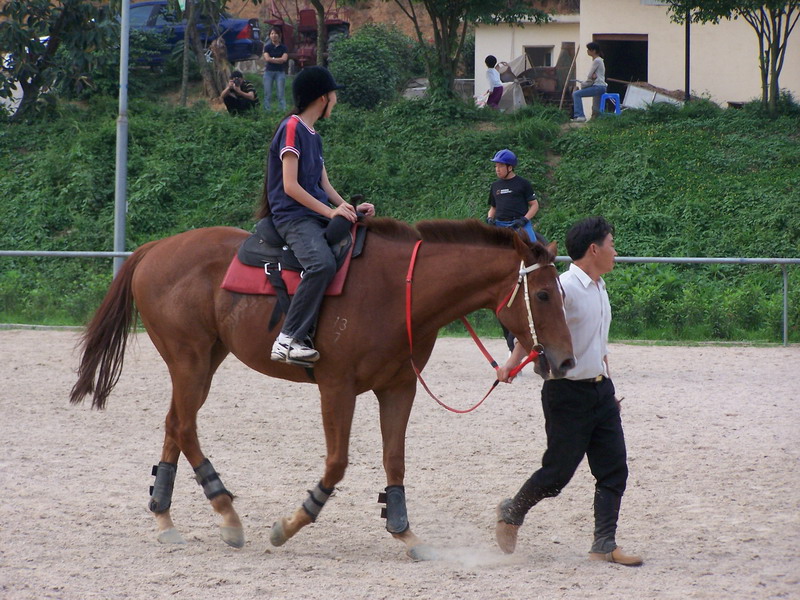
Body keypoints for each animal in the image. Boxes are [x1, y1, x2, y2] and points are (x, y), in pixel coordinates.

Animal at [67, 218, 568, 560]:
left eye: (562, 293)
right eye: (543, 295)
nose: (563, 360)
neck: (400, 292)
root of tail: (155, 249)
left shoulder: (399, 388)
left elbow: (395, 460)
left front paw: (405, 531)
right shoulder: (337, 387)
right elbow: (337, 462)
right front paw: (290, 524)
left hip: (205, 361)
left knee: (176, 424)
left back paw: (165, 518)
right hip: (188, 360)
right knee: (185, 428)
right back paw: (227, 514)